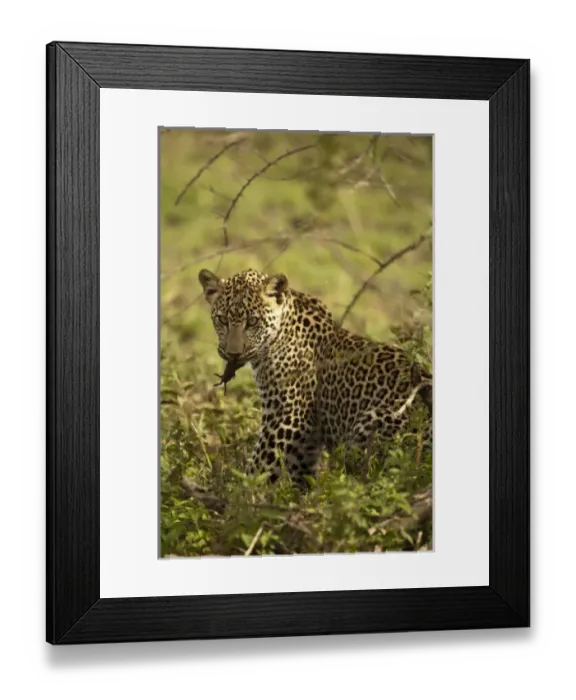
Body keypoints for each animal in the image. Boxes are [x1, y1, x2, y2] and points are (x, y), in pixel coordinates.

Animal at [199, 268, 432, 485]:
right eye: (222, 320)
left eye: (253, 322)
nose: (233, 353)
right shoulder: (307, 435)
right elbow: (301, 471)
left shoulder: (287, 416)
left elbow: (259, 466)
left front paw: (242, 493)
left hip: (369, 427)